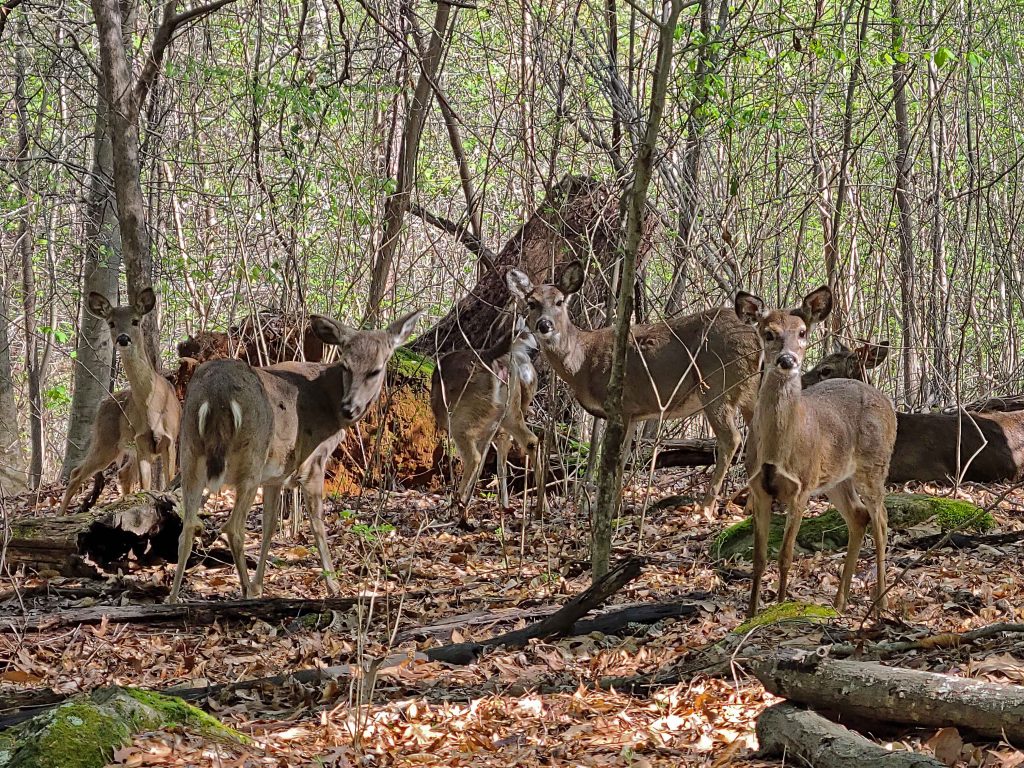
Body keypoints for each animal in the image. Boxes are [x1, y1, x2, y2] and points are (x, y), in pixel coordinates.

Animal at [83, 288, 182, 493]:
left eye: (135, 321)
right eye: (111, 323)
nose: (123, 338)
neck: (153, 408)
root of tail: (103, 404)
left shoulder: (169, 440)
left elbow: (168, 481)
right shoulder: (141, 442)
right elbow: (146, 486)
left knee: (123, 473)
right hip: (106, 441)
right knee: (76, 474)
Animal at [169, 309, 421, 606]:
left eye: (375, 370)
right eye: (346, 366)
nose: (349, 407)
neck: (329, 403)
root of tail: (217, 394)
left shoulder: (275, 476)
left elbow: (269, 527)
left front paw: (259, 585)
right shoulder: (312, 463)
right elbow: (317, 524)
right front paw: (333, 586)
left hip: (190, 453)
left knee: (187, 527)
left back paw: (173, 598)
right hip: (251, 457)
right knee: (233, 527)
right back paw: (244, 592)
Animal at [432, 315, 544, 520]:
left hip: (463, 416)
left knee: (474, 456)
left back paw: (454, 504)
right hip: (509, 410)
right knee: (529, 440)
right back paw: (538, 508)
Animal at [503, 260, 761, 518]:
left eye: (559, 301)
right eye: (531, 303)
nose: (544, 325)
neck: (581, 362)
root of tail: (755, 337)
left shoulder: (621, 405)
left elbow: (614, 458)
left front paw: (606, 510)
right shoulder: (635, 413)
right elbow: (625, 456)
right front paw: (616, 509)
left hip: (718, 384)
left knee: (731, 439)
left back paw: (706, 506)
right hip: (749, 390)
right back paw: (750, 506)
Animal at [737, 288, 897, 618]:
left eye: (802, 332)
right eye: (768, 332)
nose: (787, 360)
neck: (777, 449)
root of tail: (888, 404)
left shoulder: (802, 487)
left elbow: (785, 555)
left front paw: (780, 606)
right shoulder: (759, 488)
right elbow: (759, 558)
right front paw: (751, 614)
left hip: (874, 465)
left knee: (882, 520)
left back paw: (880, 604)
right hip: (836, 479)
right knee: (859, 516)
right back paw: (839, 602)